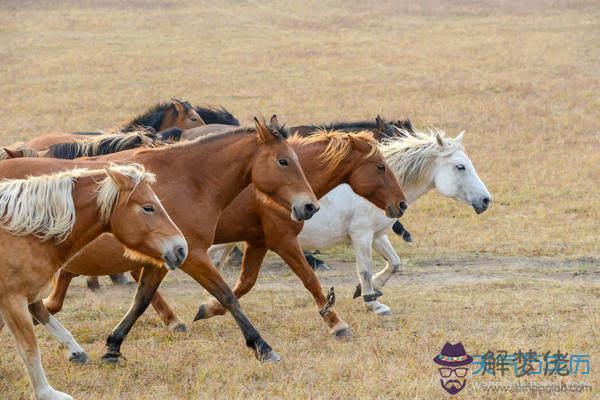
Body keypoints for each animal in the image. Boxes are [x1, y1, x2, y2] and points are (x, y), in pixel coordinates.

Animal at [0, 162, 186, 400]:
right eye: (148, 207)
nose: (181, 249)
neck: (23, 234)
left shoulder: (28, 297)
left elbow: (51, 320)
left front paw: (77, 353)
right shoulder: (13, 300)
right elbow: (29, 348)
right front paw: (48, 393)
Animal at [209, 128, 490, 316]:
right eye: (461, 167)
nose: (486, 200)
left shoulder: (377, 236)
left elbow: (394, 264)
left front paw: (369, 290)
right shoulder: (361, 236)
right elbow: (364, 269)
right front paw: (372, 302)